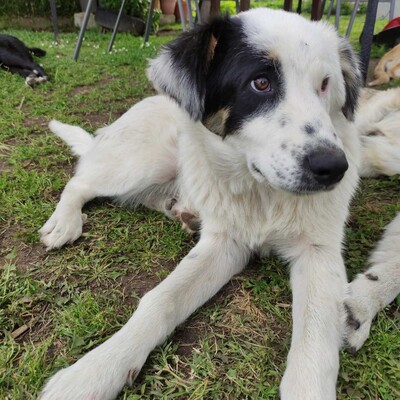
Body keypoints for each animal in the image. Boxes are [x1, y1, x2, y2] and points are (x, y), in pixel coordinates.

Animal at [38, 8, 396, 400]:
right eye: (260, 83)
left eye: (325, 84)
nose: (334, 168)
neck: (261, 192)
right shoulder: (224, 243)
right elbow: (160, 299)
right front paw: (94, 370)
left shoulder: (318, 252)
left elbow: (315, 345)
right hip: (143, 161)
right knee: (80, 181)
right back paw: (65, 222)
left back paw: (183, 210)